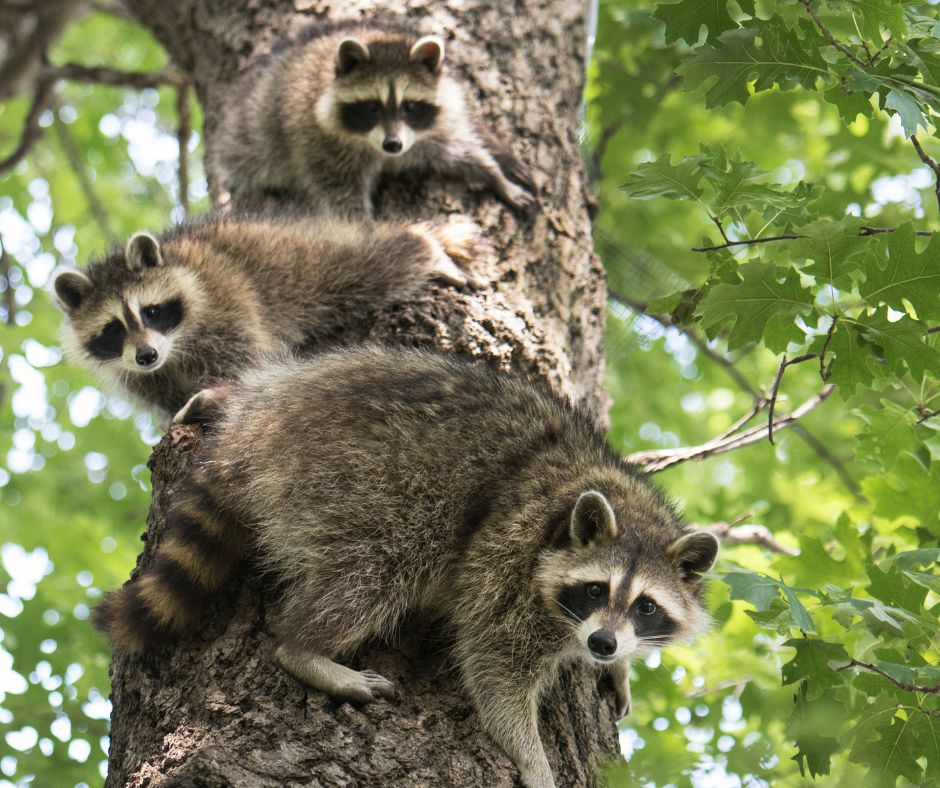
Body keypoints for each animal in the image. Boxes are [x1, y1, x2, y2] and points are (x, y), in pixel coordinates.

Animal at [53, 216, 477, 419]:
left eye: (152, 311)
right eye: (113, 329)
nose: (146, 355)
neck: (174, 348)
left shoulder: (225, 299)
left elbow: (246, 361)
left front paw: (218, 393)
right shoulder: (140, 374)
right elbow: (161, 391)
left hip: (299, 263)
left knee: (368, 267)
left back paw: (421, 244)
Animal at [94, 346, 718, 787]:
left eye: (645, 605)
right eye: (594, 589)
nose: (605, 644)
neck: (625, 507)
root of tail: (251, 431)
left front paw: (618, 666)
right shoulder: (508, 565)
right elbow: (494, 669)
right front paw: (534, 756)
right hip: (357, 476)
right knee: (382, 564)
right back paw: (306, 649)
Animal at [211, 23, 536, 218]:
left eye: (410, 106)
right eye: (371, 107)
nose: (393, 145)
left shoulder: (420, 136)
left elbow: (457, 151)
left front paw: (493, 174)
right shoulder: (318, 146)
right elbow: (343, 200)